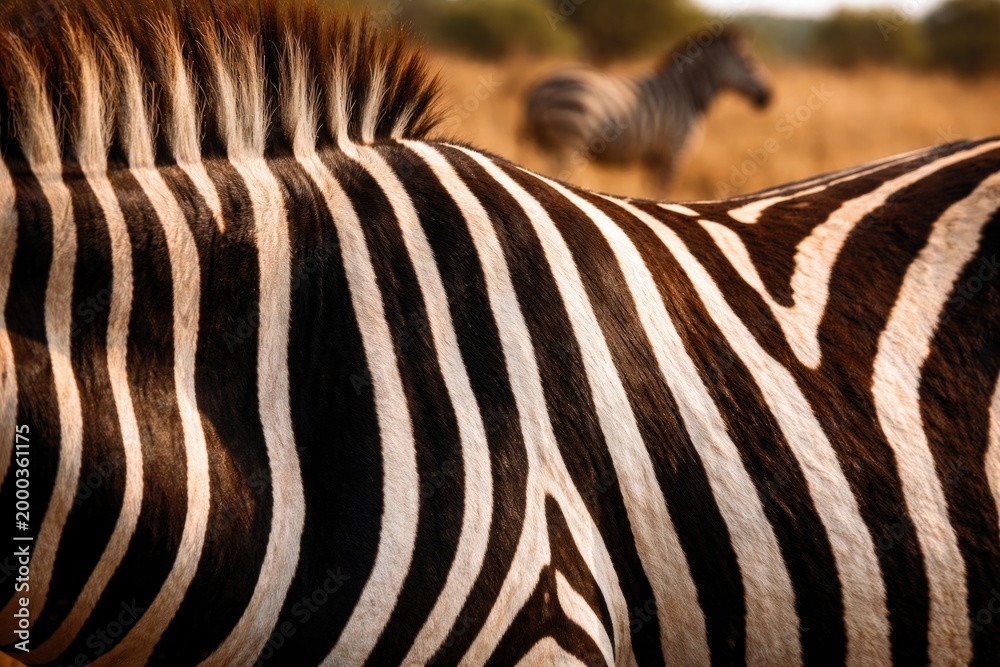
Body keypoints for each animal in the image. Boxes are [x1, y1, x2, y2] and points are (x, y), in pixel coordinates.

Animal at [523, 28, 772, 187]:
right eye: (750, 61)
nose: (769, 98)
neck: (686, 92)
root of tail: (540, 87)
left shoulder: (655, 158)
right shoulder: (676, 151)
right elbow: (664, 191)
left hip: (551, 145)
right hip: (569, 142)